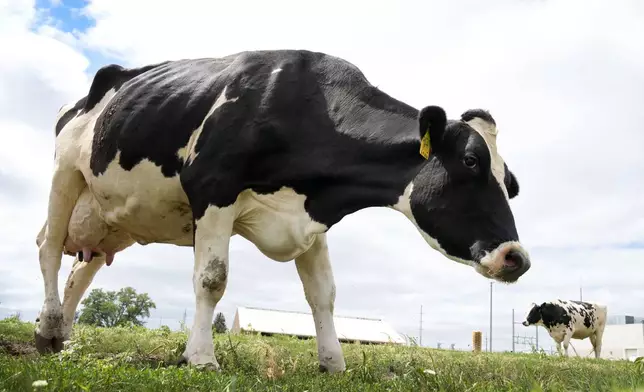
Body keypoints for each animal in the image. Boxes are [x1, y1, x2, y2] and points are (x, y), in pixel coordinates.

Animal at [32, 49, 532, 374]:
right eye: (471, 161)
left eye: (511, 182)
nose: (517, 258)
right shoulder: (213, 188)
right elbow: (211, 279)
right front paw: (201, 358)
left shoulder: (311, 218)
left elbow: (324, 294)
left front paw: (333, 363)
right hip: (64, 173)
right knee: (50, 248)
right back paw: (46, 331)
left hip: (109, 216)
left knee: (82, 269)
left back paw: (64, 340)